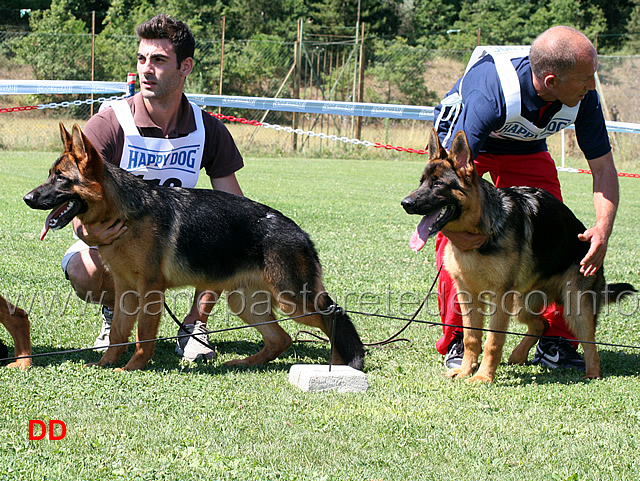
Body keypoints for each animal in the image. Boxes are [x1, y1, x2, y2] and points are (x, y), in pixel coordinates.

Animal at [23, 124, 364, 372]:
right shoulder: (125, 290)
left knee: (334, 314)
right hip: (245, 303)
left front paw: (131, 368)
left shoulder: (150, 290)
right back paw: (243, 363)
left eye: (60, 179)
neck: (127, 213)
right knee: (280, 339)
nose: (27, 198)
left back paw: (339, 363)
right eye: (49, 175)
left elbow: (143, 336)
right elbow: (118, 333)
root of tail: (301, 233)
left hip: (293, 301)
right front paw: (105, 364)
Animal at [402, 128, 632, 382]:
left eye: (438, 184)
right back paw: (519, 354)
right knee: (541, 324)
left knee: (589, 342)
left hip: (575, 307)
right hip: (522, 305)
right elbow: (472, 337)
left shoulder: (499, 298)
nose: (405, 203)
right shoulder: (467, 295)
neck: (483, 229)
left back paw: (592, 373)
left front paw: (483, 377)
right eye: (422, 182)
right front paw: (464, 370)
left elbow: (492, 341)